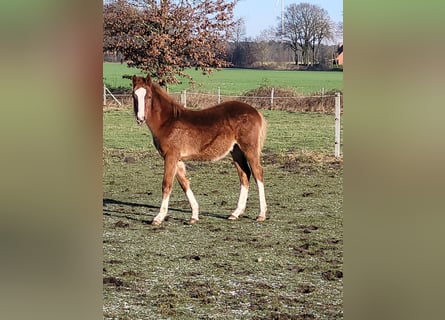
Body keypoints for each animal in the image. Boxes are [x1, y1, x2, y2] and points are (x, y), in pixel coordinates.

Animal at [130, 74, 266, 225]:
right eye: (134, 95)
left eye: (148, 96)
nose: (140, 118)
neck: (168, 122)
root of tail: (256, 112)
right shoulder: (178, 159)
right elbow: (184, 183)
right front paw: (194, 215)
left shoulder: (171, 156)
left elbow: (166, 184)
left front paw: (159, 217)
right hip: (236, 151)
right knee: (244, 174)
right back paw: (235, 213)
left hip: (249, 149)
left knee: (257, 173)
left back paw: (261, 214)